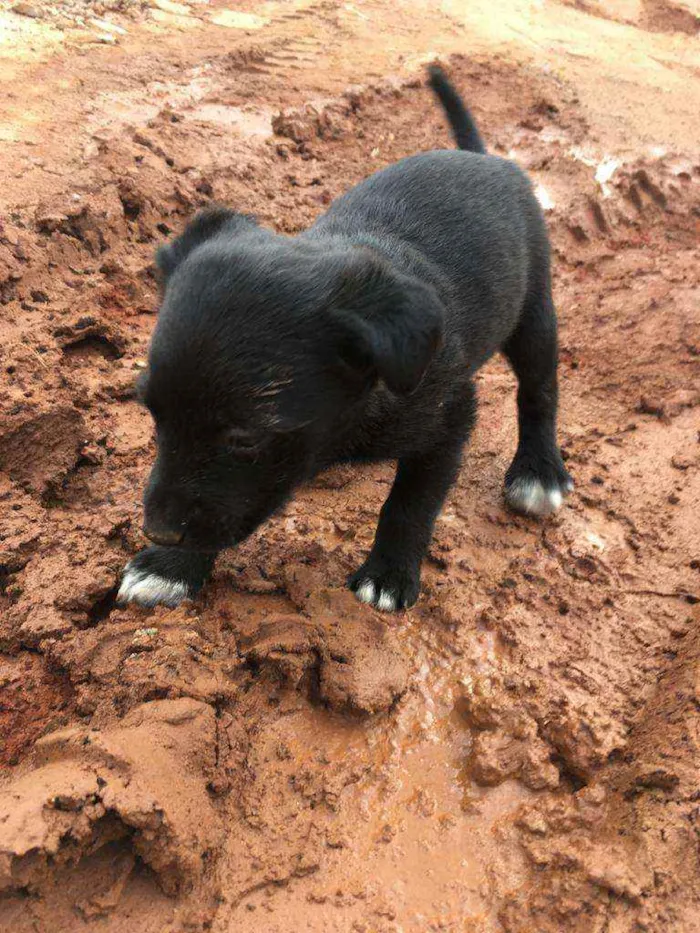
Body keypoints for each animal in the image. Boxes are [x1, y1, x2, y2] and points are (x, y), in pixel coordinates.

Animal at [117, 69, 572, 616]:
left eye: (245, 438)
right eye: (152, 413)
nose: (158, 532)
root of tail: (484, 158)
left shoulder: (449, 415)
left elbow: (411, 503)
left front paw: (389, 573)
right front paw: (171, 568)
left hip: (534, 313)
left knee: (538, 389)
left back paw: (539, 471)